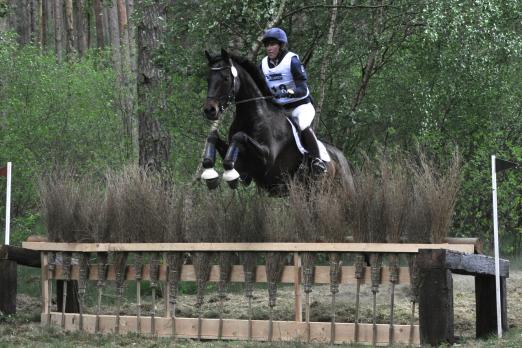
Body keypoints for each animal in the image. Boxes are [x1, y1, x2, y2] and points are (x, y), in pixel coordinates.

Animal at [200, 49, 354, 196]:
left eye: (226, 78)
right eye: (208, 79)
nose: (210, 110)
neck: (253, 116)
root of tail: (342, 159)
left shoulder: (267, 158)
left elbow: (240, 136)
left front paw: (229, 176)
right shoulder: (242, 164)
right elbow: (213, 136)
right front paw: (210, 174)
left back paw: (319, 165)